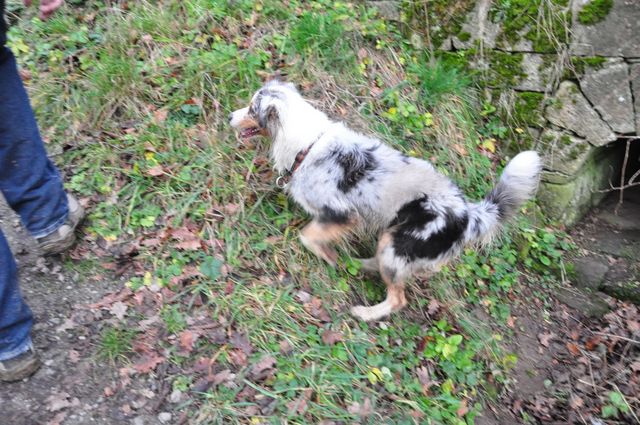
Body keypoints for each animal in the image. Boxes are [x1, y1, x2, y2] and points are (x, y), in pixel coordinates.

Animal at [230, 80, 542, 322]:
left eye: (252, 108)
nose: (229, 116)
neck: (307, 145)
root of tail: (468, 213)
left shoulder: (341, 214)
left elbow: (307, 236)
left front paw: (328, 257)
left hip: (399, 244)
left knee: (397, 299)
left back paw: (366, 312)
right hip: (391, 241)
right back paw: (361, 265)